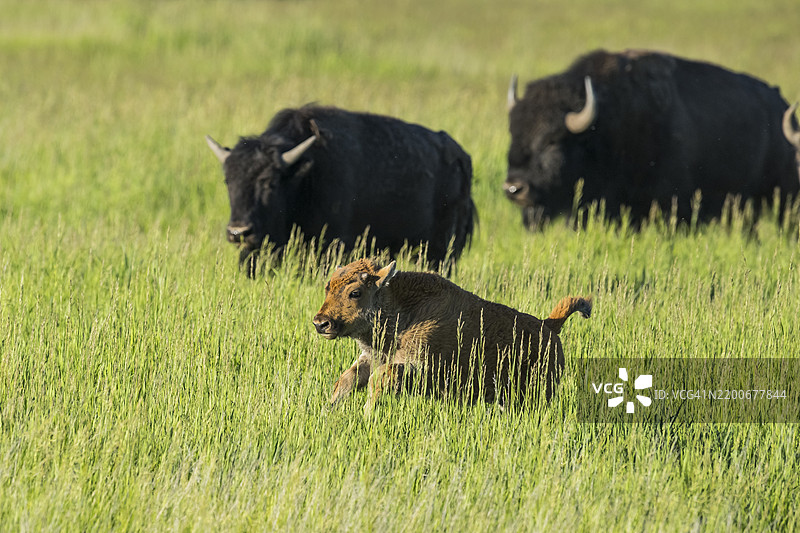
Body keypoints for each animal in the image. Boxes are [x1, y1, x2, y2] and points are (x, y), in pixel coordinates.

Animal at [206, 105, 476, 275]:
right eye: (228, 181)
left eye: (270, 182)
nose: (238, 232)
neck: (306, 174)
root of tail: (462, 157)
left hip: (441, 250)